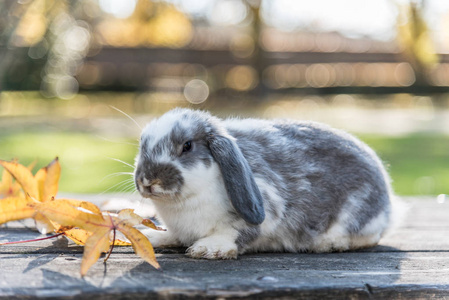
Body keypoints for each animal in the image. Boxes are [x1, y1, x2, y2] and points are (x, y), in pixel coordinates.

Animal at [134, 108, 392, 260]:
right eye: (142, 144)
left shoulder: (268, 204)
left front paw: (209, 248)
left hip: (359, 214)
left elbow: (237, 231)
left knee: (368, 237)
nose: (147, 181)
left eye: (187, 146)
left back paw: (329, 243)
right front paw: (155, 237)